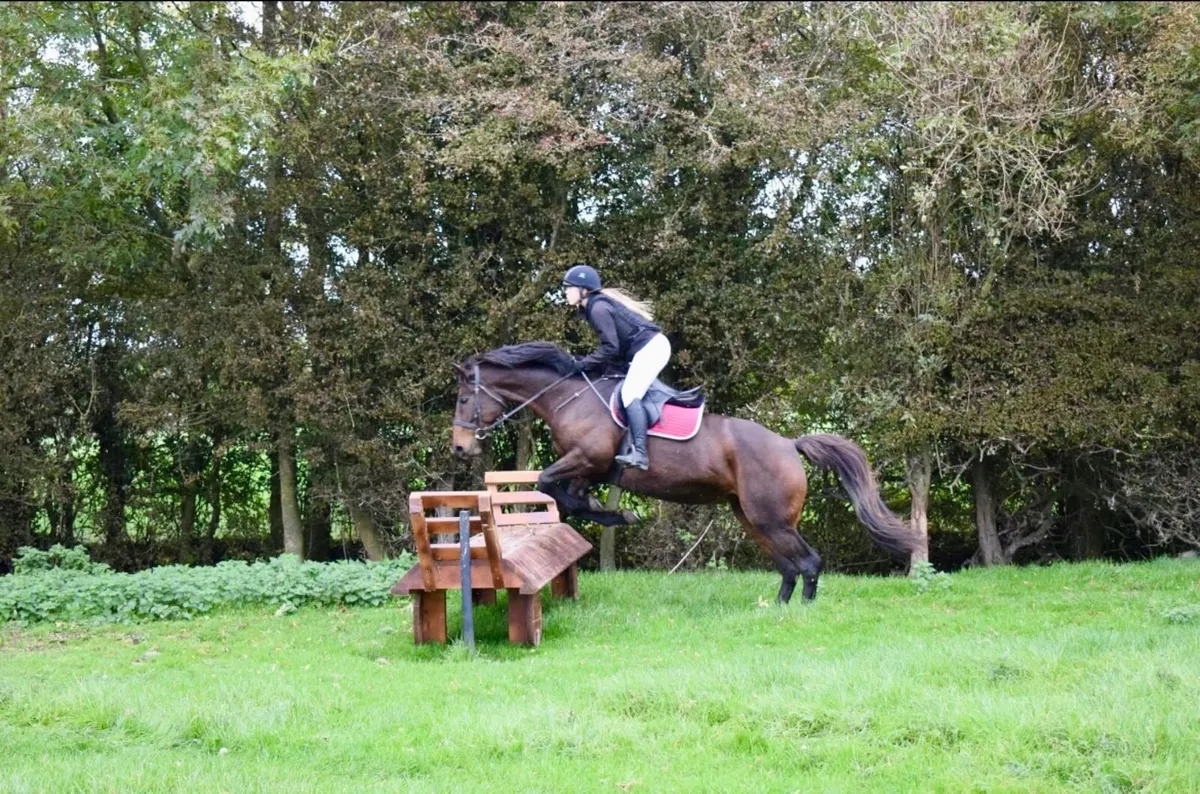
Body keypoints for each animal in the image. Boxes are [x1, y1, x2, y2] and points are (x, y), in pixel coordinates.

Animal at [450, 342, 921, 603]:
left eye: (462, 399)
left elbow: (551, 484)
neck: (568, 396)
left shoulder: (588, 459)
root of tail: (789, 444)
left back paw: (800, 612)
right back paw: (777, 608)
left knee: (807, 562)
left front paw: (618, 514)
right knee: (789, 566)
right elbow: (568, 494)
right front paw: (609, 512)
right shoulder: (587, 469)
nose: (459, 447)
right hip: (751, 517)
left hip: (770, 517)